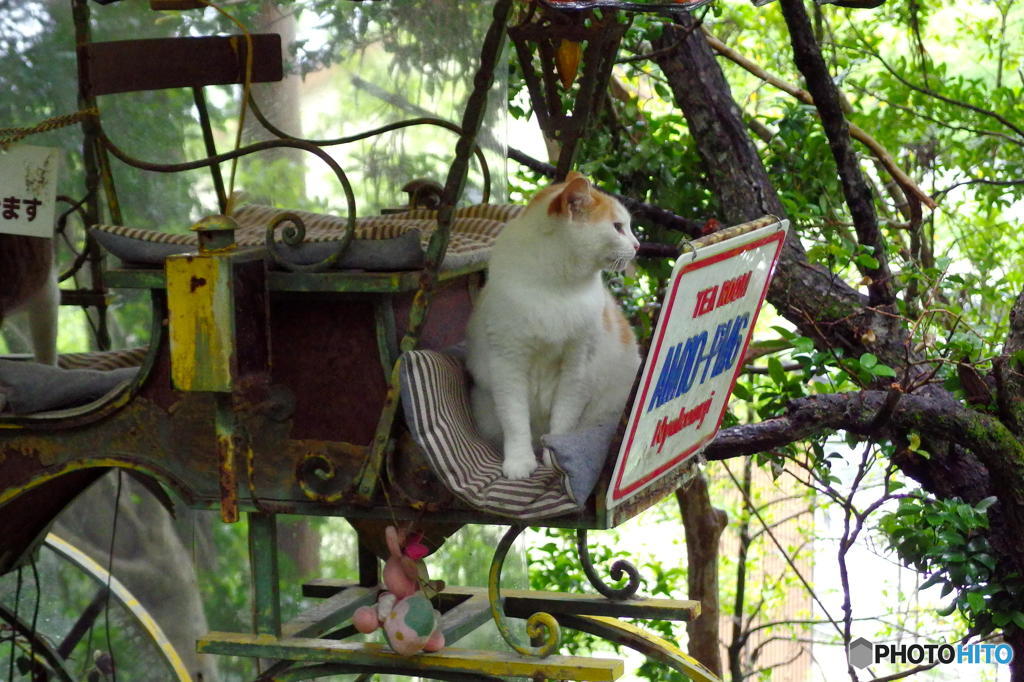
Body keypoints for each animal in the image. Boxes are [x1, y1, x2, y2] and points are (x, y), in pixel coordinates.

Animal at [466, 171, 638, 477]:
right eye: (618, 227)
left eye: (627, 227)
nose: (638, 245)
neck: (557, 287)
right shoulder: (508, 362)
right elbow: (514, 419)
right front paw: (519, 463)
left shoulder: (577, 367)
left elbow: (563, 420)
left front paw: (554, 458)